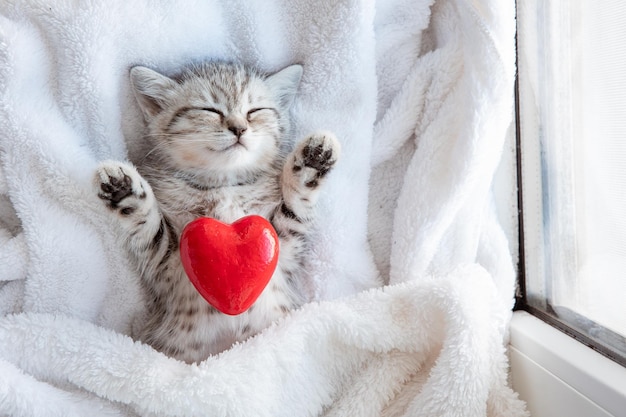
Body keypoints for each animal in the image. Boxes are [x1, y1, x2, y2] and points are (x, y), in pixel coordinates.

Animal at [96, 61, 342, 360]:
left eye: (254, 111)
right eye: (209, 110)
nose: (239, 128)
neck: (224, 184)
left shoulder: (284, 247)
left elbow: (294, 207)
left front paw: (312, 161)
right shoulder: (166, 264)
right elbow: (149, 226)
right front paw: (123, 189)